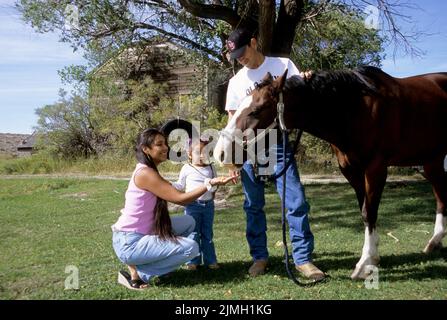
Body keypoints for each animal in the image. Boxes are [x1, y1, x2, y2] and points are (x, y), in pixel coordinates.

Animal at [214, 65, 447, 280]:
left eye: (256, 110)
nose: (220, 153)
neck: (356, 110)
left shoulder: (376, 168)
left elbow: (369, 212)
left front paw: (364, 263)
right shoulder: (351, 171)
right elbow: (364, 210)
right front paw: (372, 258)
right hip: (431, 162)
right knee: (440, 196)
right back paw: (435, 241)